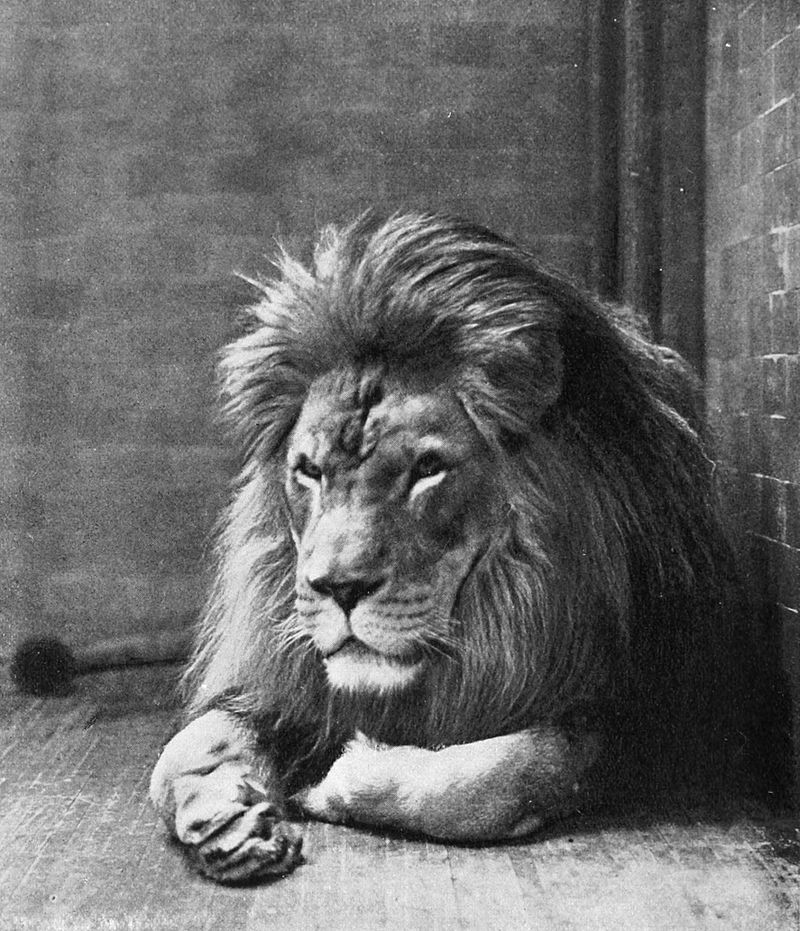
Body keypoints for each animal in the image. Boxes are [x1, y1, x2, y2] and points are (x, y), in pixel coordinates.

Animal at [149, 212, 746, 883]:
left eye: (427, 470)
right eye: (309, 471)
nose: (338, 588)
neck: (505, 607)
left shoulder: (642, 716)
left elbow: (495, 776)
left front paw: (338, 778)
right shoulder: (278, 690)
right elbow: (182, 750)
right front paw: (230, 822)